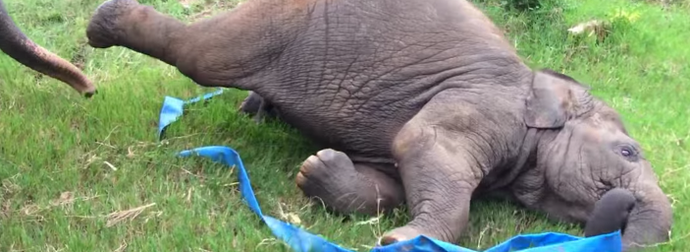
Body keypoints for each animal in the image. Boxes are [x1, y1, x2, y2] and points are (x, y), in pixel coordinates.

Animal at [83, 0, 668, 249]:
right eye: (629, 152)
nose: (622, 206)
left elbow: (390, 181)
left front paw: (317, 171)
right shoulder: (476, 104)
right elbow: (422, 145)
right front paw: (403, 241)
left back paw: (258, 109)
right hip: (280, 20)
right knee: (204, 54)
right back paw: (102, 25)